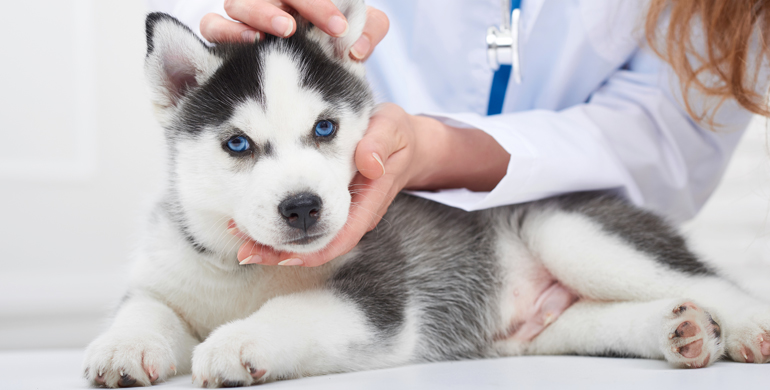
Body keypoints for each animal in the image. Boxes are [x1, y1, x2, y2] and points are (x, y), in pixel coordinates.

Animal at [82, 0, 768, 386]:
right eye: (237, 144)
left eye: (325, 128)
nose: (302, 207)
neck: (246, 272)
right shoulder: (167, 272)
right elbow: (145, 308)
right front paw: (122, 346)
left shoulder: (381, 298)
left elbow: (294, 312)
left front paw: (237, 341)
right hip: (545, 330)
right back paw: (681, 330)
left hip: (569, 230)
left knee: (710, 283)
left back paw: (745, 328)